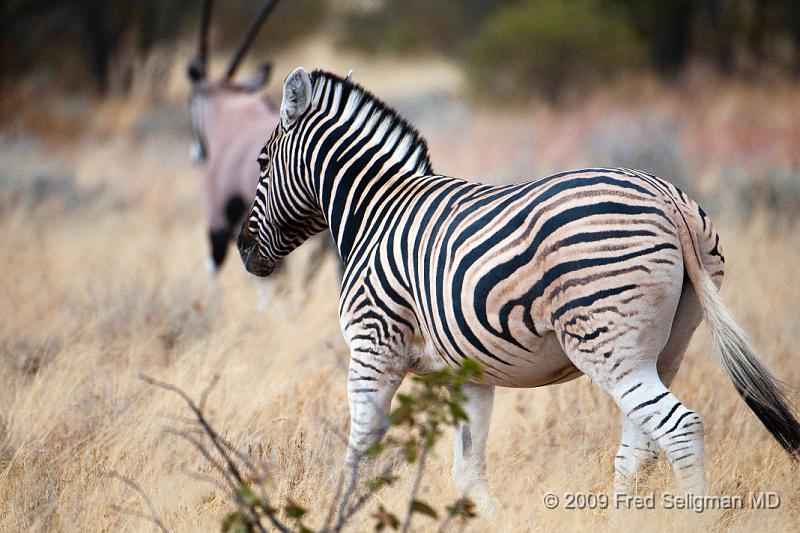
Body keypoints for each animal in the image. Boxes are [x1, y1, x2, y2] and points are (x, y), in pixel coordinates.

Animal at [236, 67, 800, 516]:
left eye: (261, 162)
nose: (242, 249)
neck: (378, 211)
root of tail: (665, 196)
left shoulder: (373, 346)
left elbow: (360, 450)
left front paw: (339, 513)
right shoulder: (468, 375)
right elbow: (467, 470)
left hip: (609, 345)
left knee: (678, 428)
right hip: (665, 348)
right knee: (640, 444)